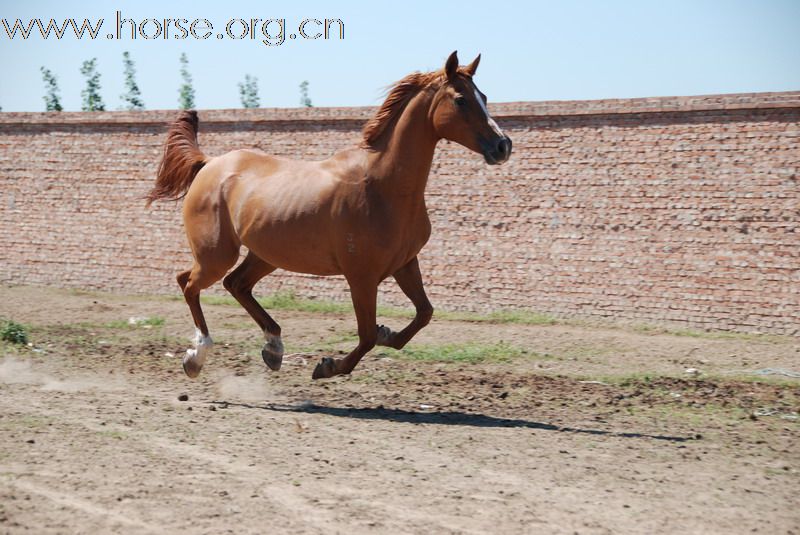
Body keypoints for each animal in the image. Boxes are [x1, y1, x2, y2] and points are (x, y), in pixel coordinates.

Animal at [145, 49, 512, 376]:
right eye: (461, 99)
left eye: (484, 96)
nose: (502, 145)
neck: (384, 186)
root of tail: (209, 164)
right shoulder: (361, 276)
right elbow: (366, 336)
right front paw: (328, 366)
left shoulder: (405, 263)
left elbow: (423, 313)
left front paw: (388, 333)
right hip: (216, 254)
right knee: (189, 283)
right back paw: (196, 357)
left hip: (266, 254)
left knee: (235, 284)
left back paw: (273, 348)